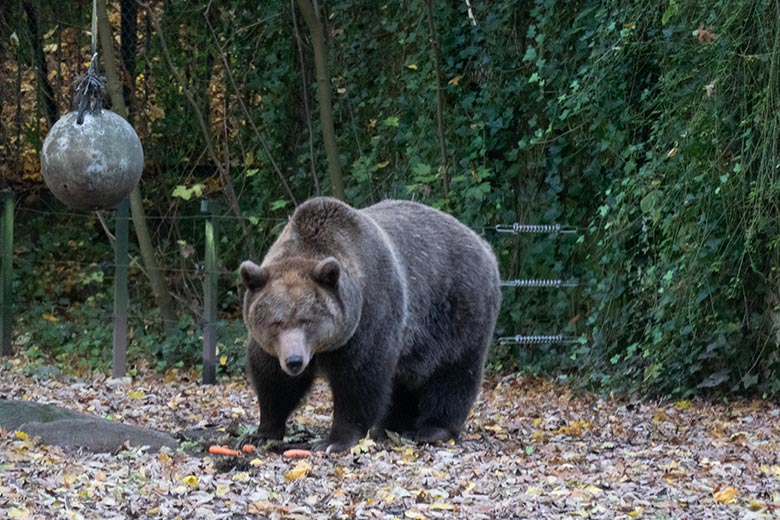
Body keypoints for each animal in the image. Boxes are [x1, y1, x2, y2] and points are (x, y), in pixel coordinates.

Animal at [241, 197, 502, 452]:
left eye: (307, 319)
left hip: (458, 308)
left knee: (454, 370)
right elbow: (274, 380)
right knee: (406, 380)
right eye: (277, 322)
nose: (295, 361)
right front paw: (261, 434)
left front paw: (336, 441)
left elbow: (359, 379)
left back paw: (434, 430)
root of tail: (484, 245)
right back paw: (390, 427)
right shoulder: (275, 346)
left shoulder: (370, 315)